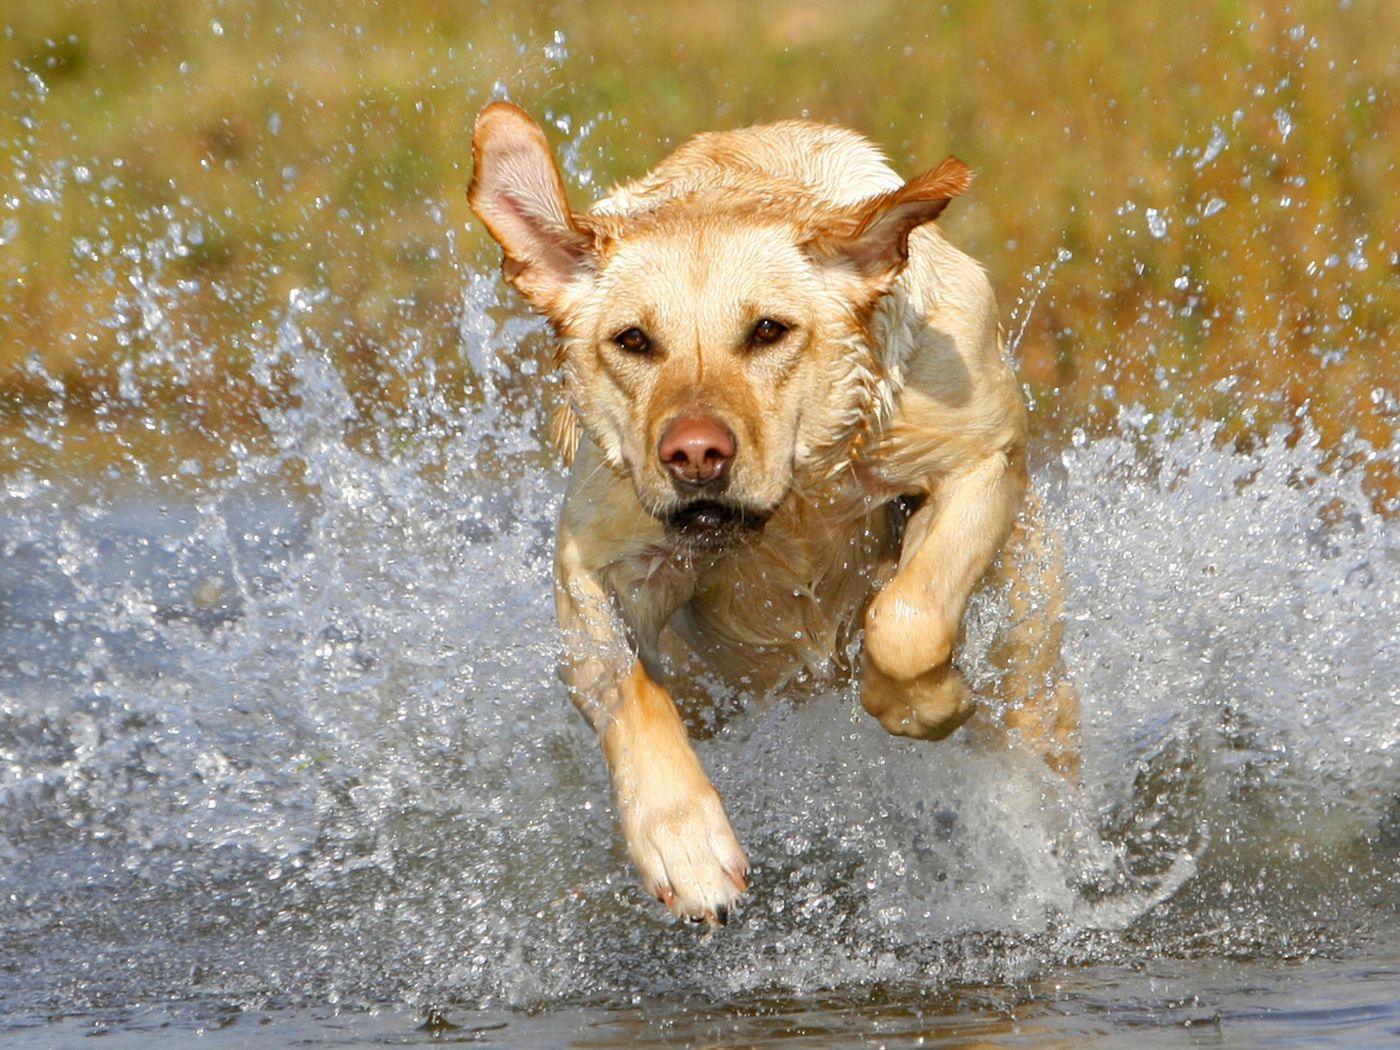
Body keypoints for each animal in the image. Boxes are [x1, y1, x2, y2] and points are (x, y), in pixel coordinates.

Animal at [473, 105, 1080, 929]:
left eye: (768, 330)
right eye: (633, 340)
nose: (694, 455)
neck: (792, 508)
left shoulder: (978, 460)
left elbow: (907, 619)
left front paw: (930, 701)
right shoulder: (594, 553)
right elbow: (627, 690)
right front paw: (685, 845)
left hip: (1030, 664)